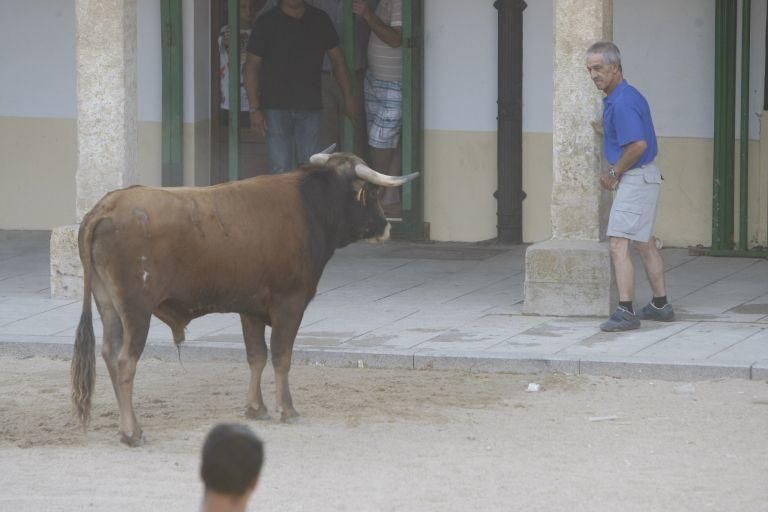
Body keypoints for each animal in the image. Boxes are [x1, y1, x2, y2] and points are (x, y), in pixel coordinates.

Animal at [70, 152, 420, 444]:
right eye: (371, 193)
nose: (386, 226)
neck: (310, 207)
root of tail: (107, 206)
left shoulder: (250, 309)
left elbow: (256, 356)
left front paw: (256, 408)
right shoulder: (290, 304)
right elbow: (281, 356)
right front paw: (287, 410)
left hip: (108, 306)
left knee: (109, 354)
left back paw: (127, 427)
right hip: (136, 310)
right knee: (126, 361)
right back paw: (132, 432)